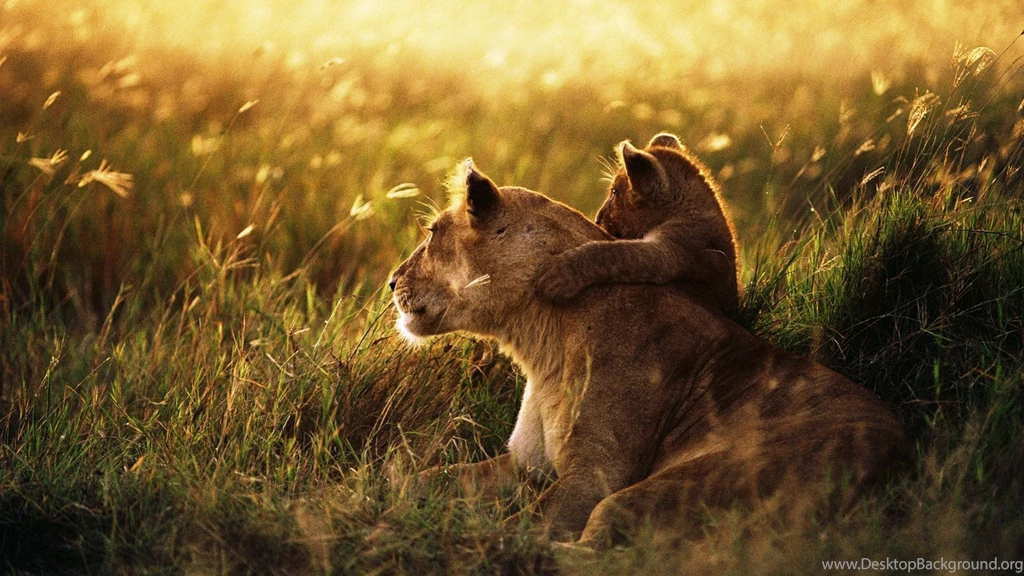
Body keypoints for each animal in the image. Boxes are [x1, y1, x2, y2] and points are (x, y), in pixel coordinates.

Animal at [389, 160, 907, 547]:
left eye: (432, 232)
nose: (392, 282)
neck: (541, 341)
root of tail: (903, 462)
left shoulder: (595, 475)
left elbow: (520, 528)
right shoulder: (525, 464)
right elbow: (423, 476)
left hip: (672, 486)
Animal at [535, 133, 739, 312]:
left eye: (615, 192)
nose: (597, 219)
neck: (687, 209)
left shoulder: (672, 252)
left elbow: (614, 253)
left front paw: (558, 275)